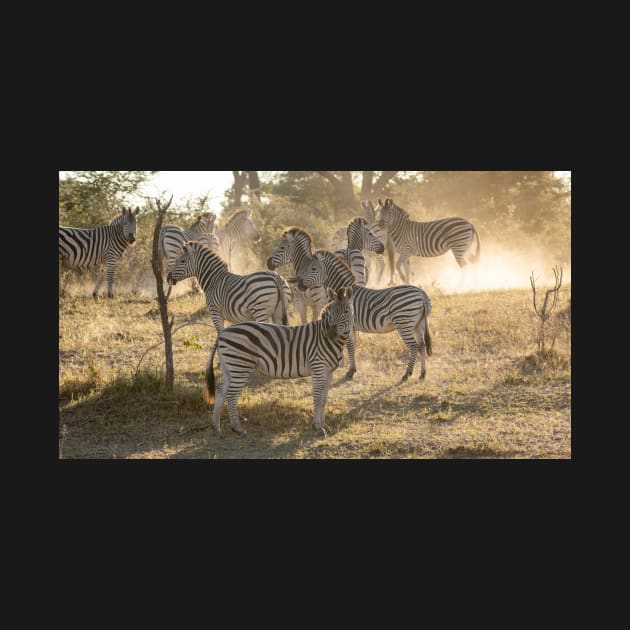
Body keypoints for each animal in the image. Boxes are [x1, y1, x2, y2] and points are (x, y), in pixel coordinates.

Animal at [206, 288, 356, 440]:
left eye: (346, 312)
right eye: (330, 313)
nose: (331, 334)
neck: (329, 341)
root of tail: (223, 333)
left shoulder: (329, 371)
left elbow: (324, 399)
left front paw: (324, 425)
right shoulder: (318, 368)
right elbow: (318, 398)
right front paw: (318, 428)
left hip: (228, 368)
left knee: (220, 392)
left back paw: (216, 428)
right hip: (239, 366)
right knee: (231, 396)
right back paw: (238, 429)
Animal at [298, 249, 432, 382]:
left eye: (313, 268)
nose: (298, 284)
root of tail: (421, 294)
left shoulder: (347, 325)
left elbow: (349, 346)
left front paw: (350, 371)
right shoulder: (351, 326)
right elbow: (353, 346)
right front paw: (352, 369)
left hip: (404, 323)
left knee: (414, 347)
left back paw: (407, 374)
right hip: (418, 324)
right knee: (422, 346)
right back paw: (422, 374)